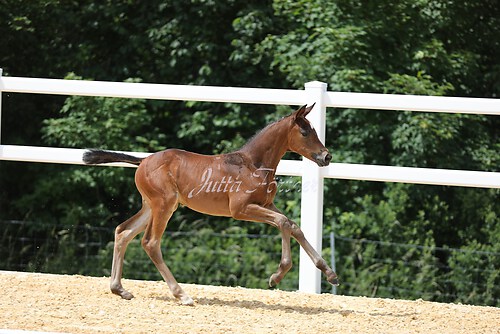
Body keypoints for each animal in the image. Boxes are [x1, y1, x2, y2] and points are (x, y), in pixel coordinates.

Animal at [84, 105, 338, 306]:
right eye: (305, 132)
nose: (326, 157)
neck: (254, 164)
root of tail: (144, 160)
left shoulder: (266, 203)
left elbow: (293, 226)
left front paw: (329, 273)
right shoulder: (241, 210)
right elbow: (283, 222)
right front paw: (278, 274)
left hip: (151, 206)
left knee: (123, 232)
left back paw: (119, 289)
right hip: (164, 205)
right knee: (150, 243)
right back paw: (182, 295)